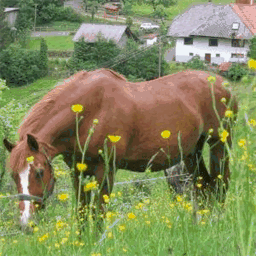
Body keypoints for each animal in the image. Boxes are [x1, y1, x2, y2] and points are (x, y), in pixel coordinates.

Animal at [3, 68, 237, 230]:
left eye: (39, 172)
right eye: (14, 175)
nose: (25, 224)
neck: (88, 113)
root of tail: (223, 84)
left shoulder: (105, 171)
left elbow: (98, 215)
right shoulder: (78, 173)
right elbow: (81, 214)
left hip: (219, 144)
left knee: (220, 186)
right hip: (191, 153)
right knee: (205, 189)